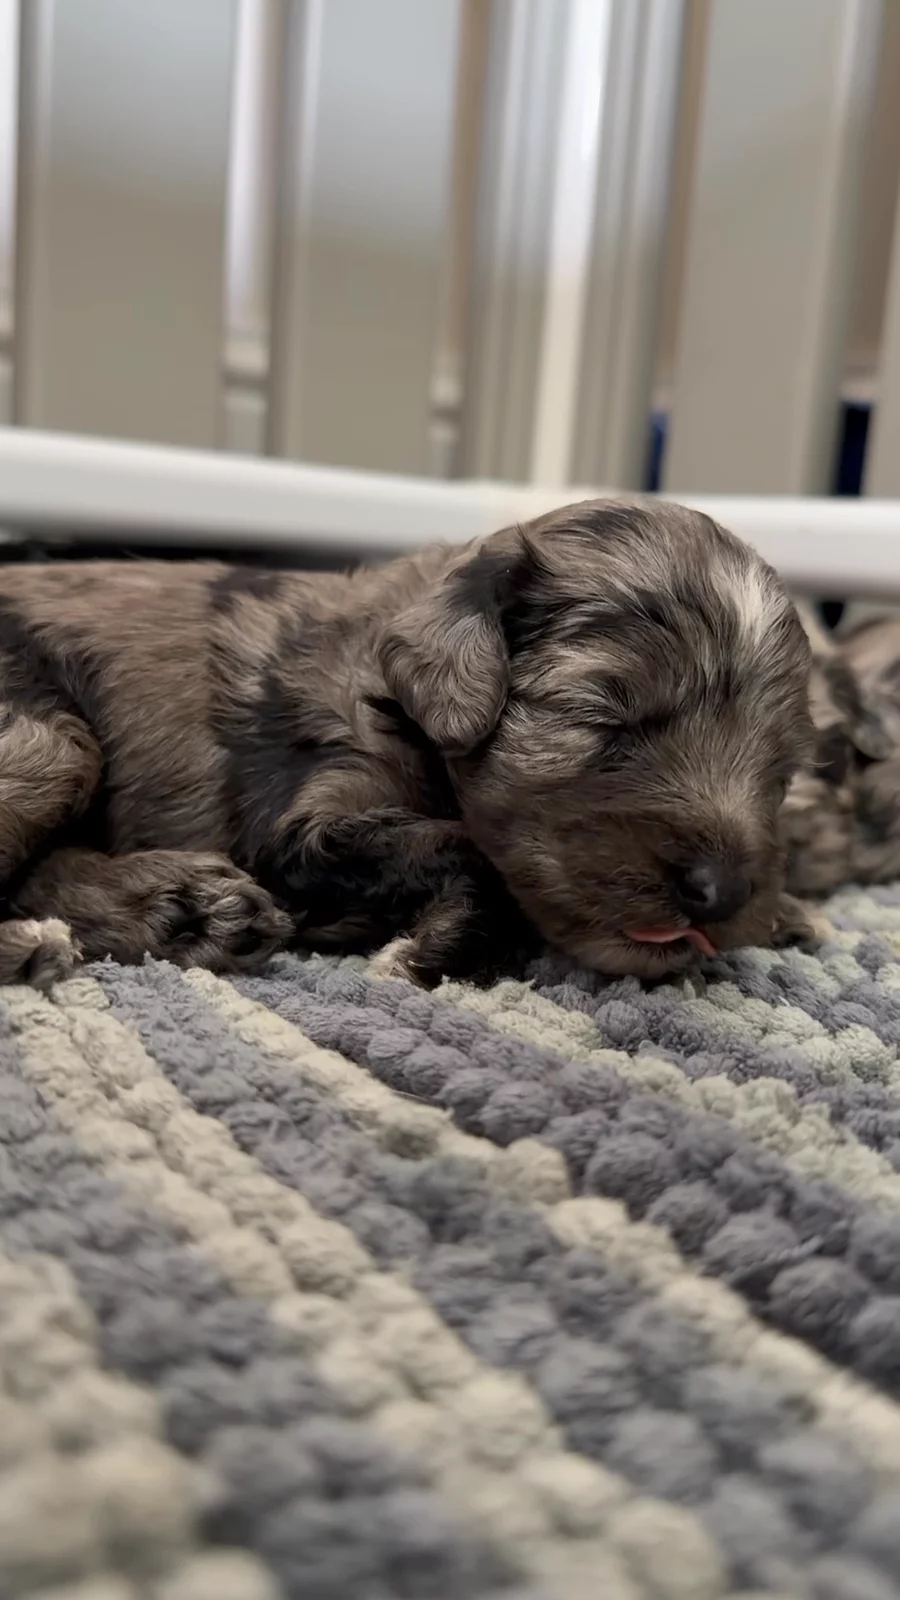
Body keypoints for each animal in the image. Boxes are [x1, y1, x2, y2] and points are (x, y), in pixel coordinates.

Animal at [0, 498, 816, 990]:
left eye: (782, 769)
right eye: (604, 716)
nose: (724, 892)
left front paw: (788, 914)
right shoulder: (308, 813)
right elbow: (467, 851)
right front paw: (433, 952)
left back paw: (191, 911)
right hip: (50, 740)